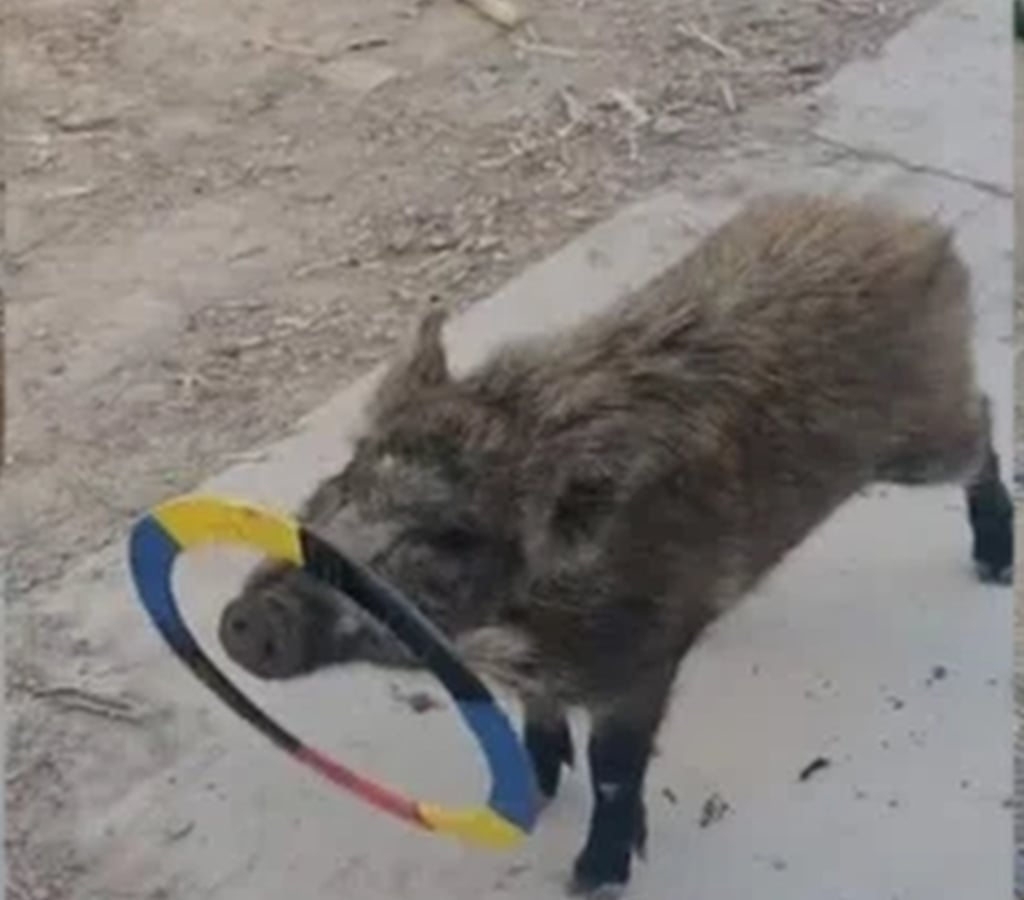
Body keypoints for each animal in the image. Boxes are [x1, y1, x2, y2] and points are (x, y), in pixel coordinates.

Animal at [218, 193, 1014, 898]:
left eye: (449, 536)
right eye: (338, 486)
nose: (250, 619)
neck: (519, 625)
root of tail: (915, 229)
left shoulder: (640, 664)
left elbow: (614, 767)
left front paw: (591, 879)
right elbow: (537, 718)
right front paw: (531, 800)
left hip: (923, 442)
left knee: (983, 422)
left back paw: (996, 565)